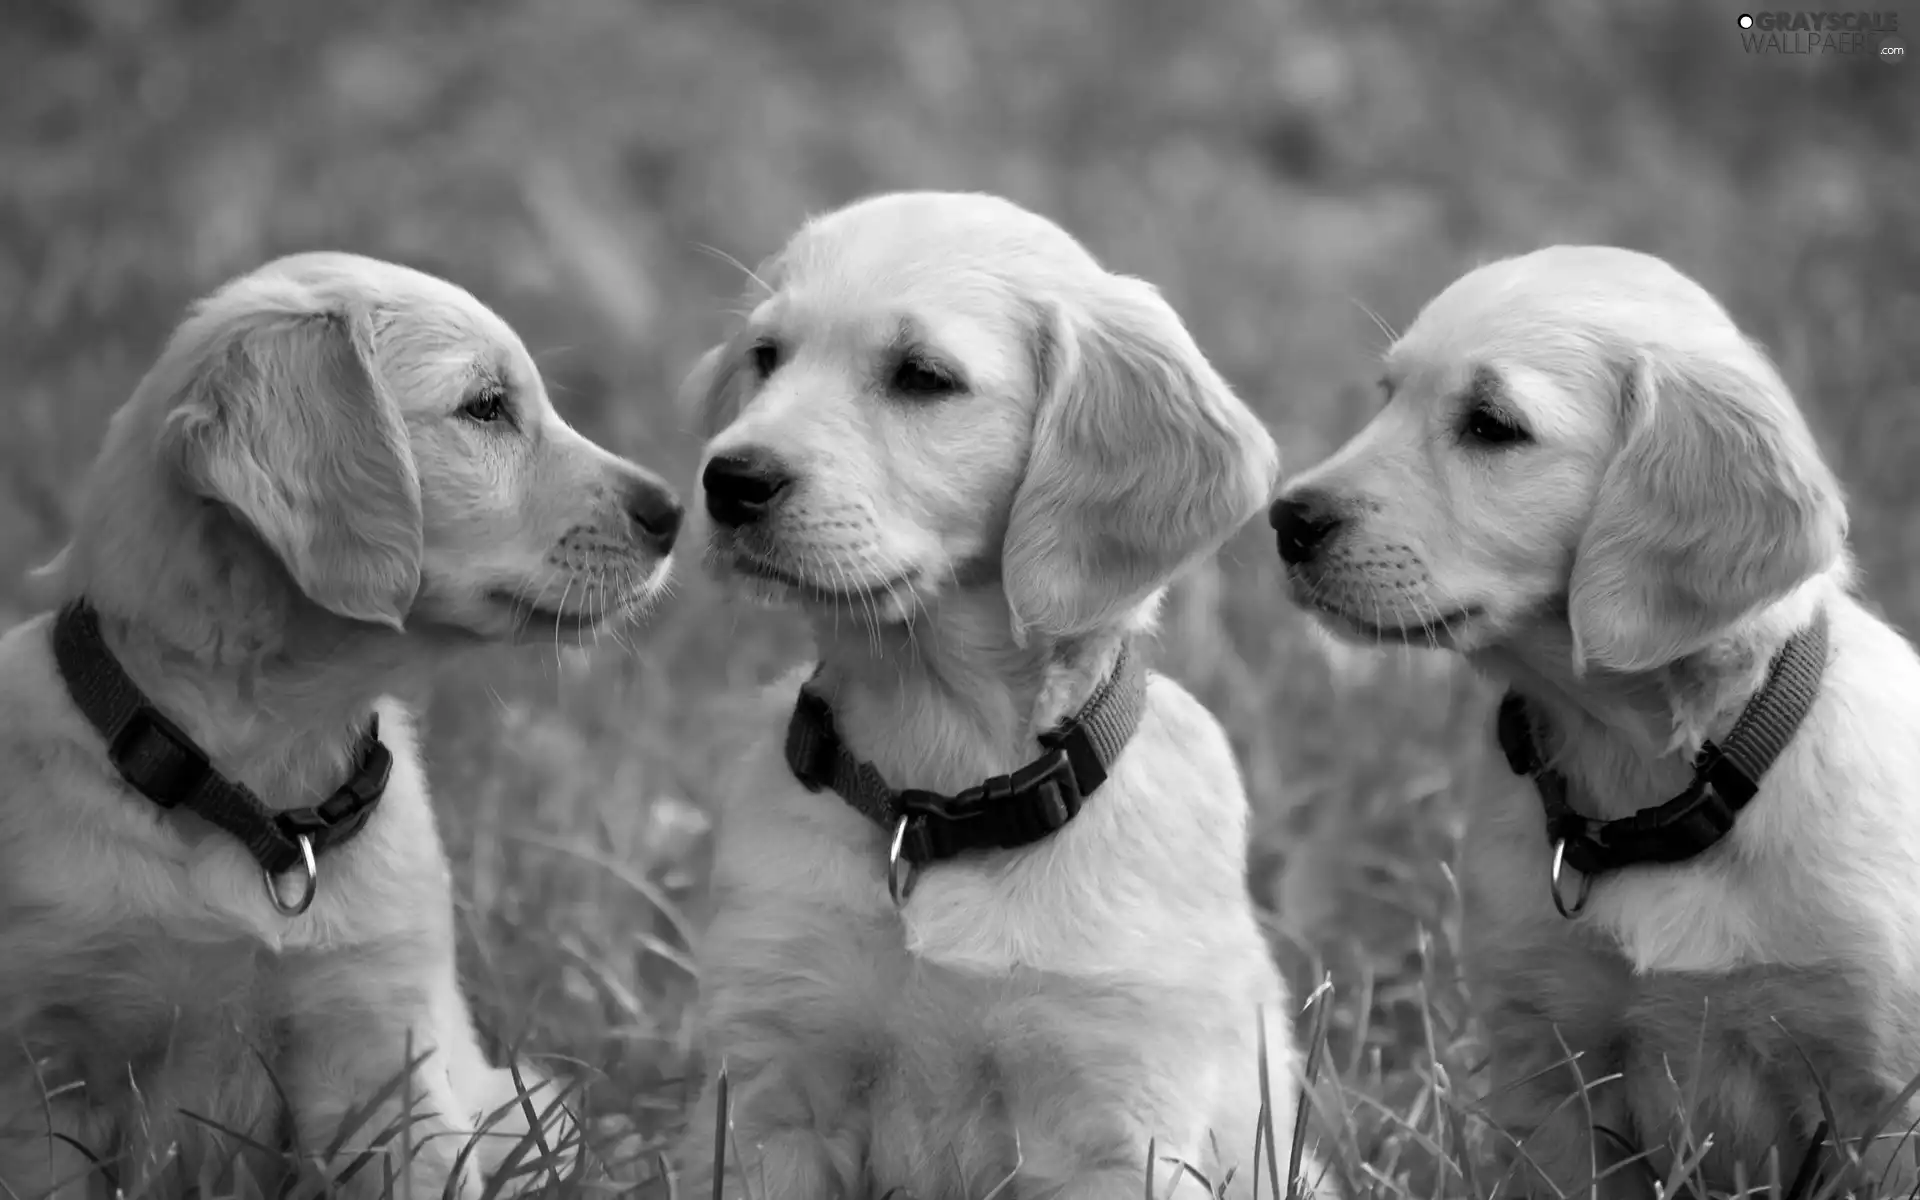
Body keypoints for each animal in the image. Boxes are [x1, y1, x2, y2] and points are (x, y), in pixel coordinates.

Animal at [0, 247, 683, 1190]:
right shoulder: (44, 1075)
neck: (256, 799)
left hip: (523, 1107)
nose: (677, 513)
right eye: (485, 407)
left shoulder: (382, 1054)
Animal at [668, 192, 1328, 1190]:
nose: (729, 478)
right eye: (766, 356)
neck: (937, 802)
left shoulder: (1112, 1133)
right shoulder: (768, 1106)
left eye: (922, 377)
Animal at [1274, 245, 1920, 1198]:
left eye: (1491, 425)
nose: (1286, 518)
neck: (1655, 790)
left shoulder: (1879, 1098)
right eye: (1387, 396)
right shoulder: (1552, 1067)